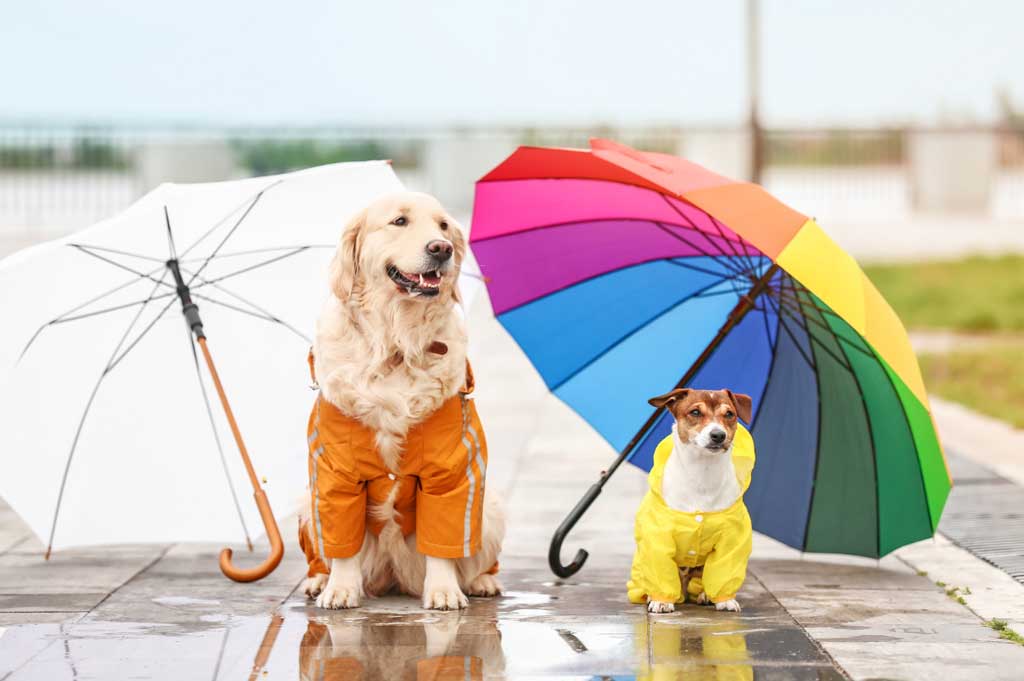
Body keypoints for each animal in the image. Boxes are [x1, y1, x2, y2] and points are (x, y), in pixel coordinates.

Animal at [296, 191, 503, 610]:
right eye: (399, 221)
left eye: (443, 226)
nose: (441, 249)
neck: (395, 344)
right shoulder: (332, 475)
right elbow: (343, 543)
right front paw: (340, 588)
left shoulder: (453, 471)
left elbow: (443, 541)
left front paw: (443, 590)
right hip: (305, 505)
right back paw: (317, 580)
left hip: (491, 507)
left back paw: (481, 581)